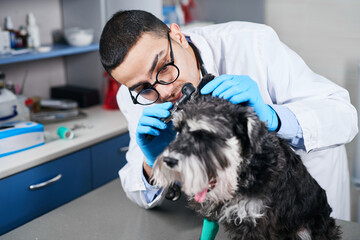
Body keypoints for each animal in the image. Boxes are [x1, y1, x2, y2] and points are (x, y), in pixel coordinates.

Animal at [150, 74, 342, 239]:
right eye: (178, 130)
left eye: (205, 134)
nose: (169, 160)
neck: (243, 171)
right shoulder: (211, 211)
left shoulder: (254, 222)